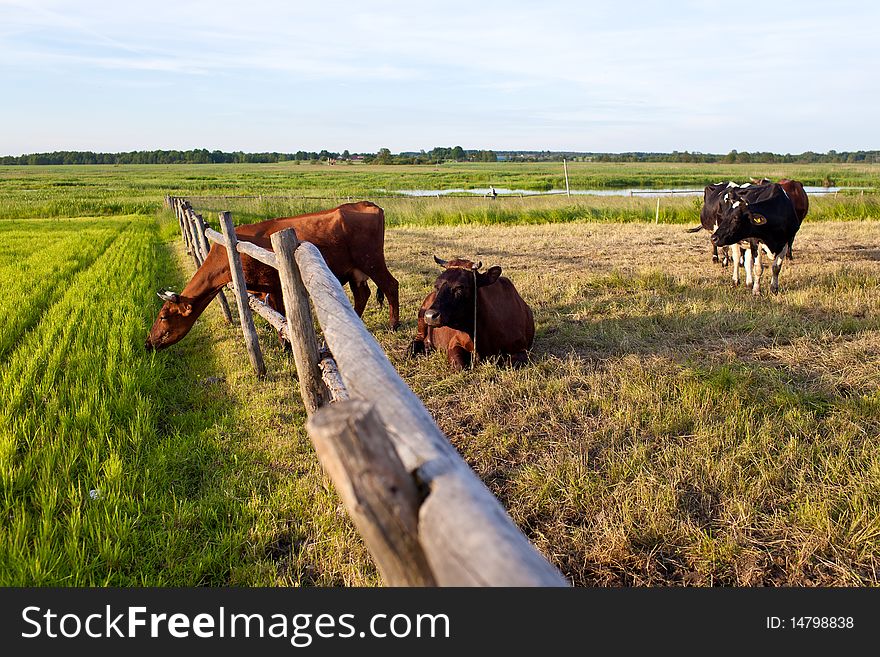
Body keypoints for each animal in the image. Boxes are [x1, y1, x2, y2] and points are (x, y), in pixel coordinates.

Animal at [146, 202, 400, 352]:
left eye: (163, 316)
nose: (148, 342)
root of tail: (368, 204)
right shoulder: (266, 288)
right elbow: (275, 314)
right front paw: (283, 342)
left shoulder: (275, 284)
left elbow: (281, 316)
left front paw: (286, 345)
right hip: (356, 270)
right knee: (362, 294)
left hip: (371, 260)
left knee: (390, 285)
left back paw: (393, 324)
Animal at [408, 255, 536, 368]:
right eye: (436, 285)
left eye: (460, 287)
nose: (430, 315)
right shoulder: (454, 343)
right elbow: (460, 365)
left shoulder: (522, 349)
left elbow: (509, 365)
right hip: (421, 318)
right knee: (417, 339)